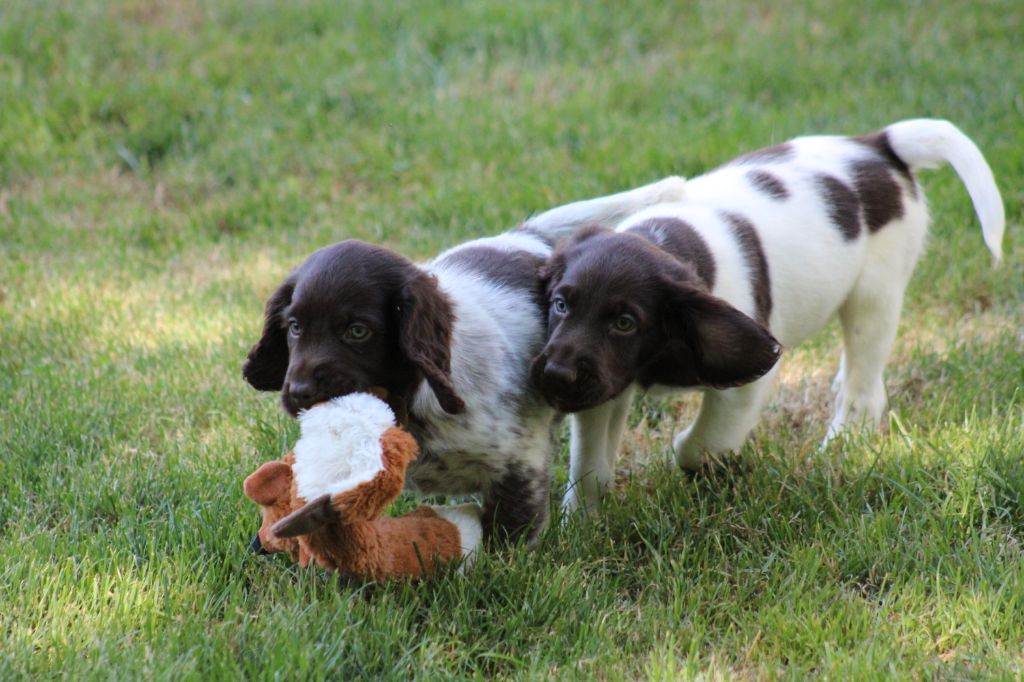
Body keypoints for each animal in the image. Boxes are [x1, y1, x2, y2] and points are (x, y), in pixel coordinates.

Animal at [241, 175, 688, 540]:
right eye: (294, 327)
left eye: (357, 331)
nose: (299, 392)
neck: (415, 396)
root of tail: (529, 238)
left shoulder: (520, 461)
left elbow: (508, 535)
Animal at [532, 118, 1003, 509]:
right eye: (560, 304)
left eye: (624, 323)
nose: (555, 374)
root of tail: (876, 145)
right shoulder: (605, 386)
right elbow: (590, 465)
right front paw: (582, 523)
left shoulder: (743, 386)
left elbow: (701, 444)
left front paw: (698, 459)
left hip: (874, 295)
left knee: (864, 387)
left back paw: (840, 444)